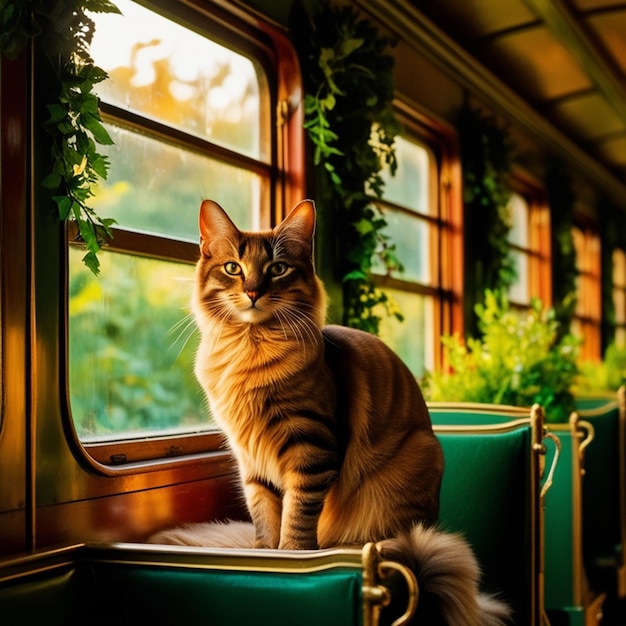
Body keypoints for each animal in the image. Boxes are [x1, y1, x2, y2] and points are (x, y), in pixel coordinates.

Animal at [149, 201, 510, 624]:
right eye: (233, 268)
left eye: (277, 268)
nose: (253, 292)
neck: (249, 350)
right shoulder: (251, 460)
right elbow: (265, 516)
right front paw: (265, 556)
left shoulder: (311, 447)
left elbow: (297, 516)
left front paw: (291, 558)